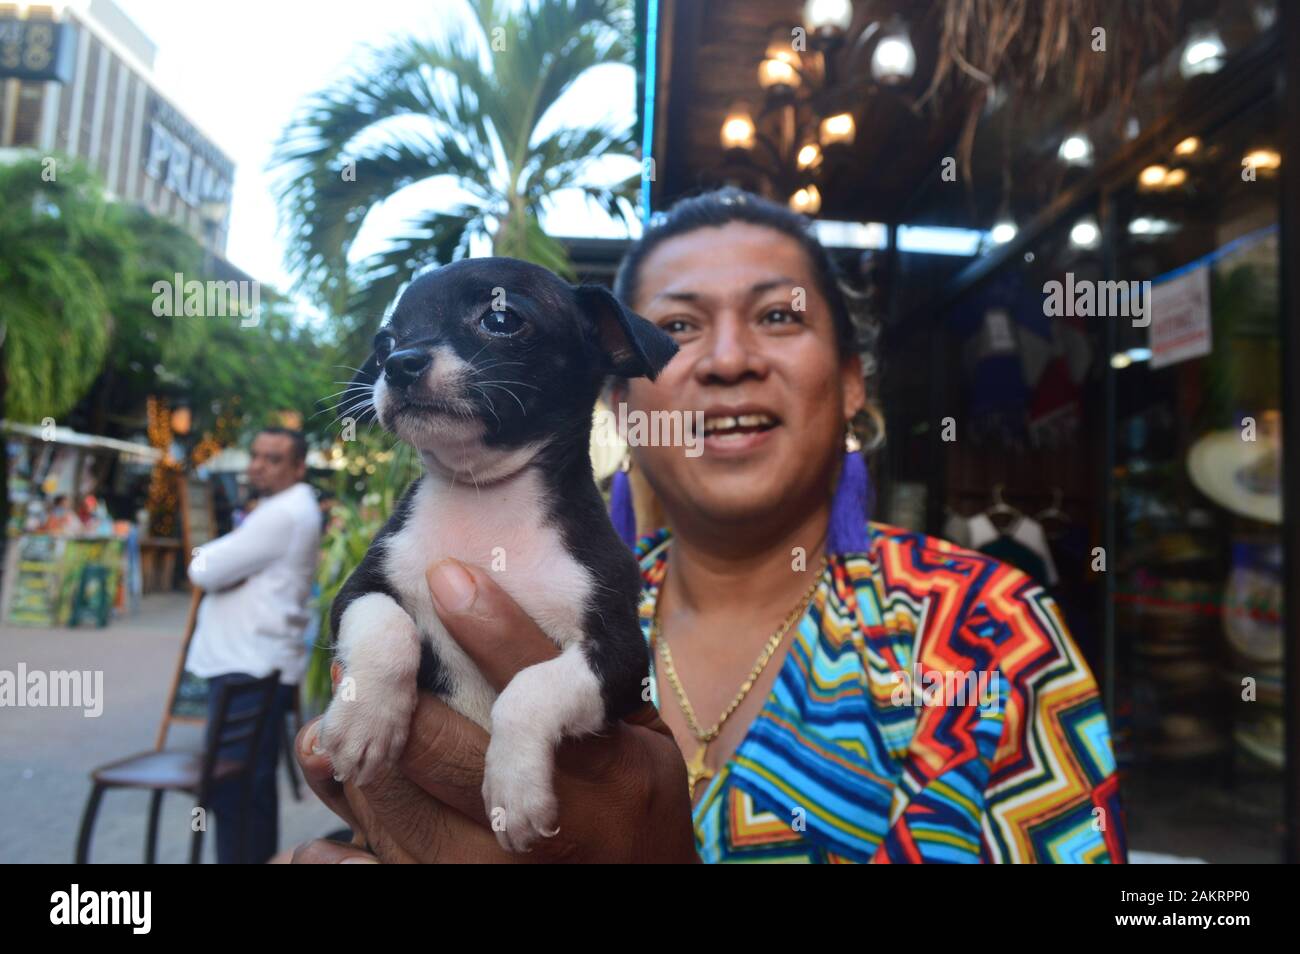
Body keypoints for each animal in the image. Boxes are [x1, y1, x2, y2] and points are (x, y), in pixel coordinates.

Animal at [322, 254, 681, 852]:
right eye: (385, 340)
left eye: (501, 319)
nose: (398, 363)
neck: (484, 494)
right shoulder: (356, 589)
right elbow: (384, 626)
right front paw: (365, 719)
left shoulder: (622, 655)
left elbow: (529, 688)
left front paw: (514, 790)